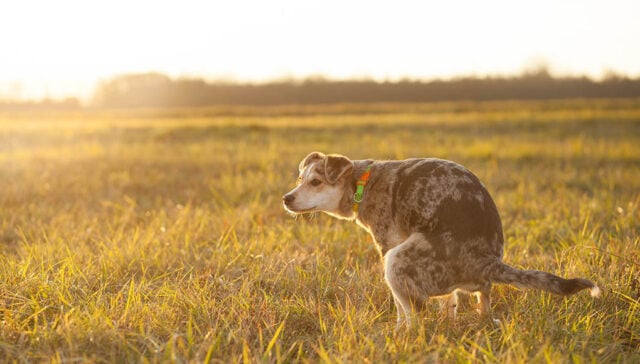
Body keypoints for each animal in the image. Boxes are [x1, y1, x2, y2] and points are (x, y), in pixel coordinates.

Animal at [282, 151, 604, 328]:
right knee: (482, 303)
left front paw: (397, 332)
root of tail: (486, 262)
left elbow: (401, 310)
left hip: (397, 260)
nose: (286, 198)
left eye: (316, 182)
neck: (362, 182)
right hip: (473, 286)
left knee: (415, 317)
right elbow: (450, 303)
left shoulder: (388, 245)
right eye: (300, 180)